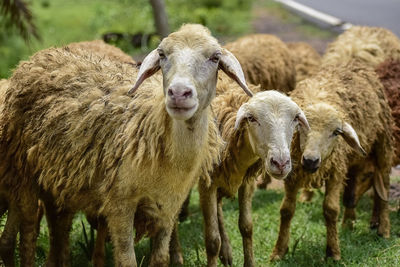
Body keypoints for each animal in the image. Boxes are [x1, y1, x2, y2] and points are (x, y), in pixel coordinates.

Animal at [0, 23, 252, 267]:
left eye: (215, 58)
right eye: (162, 54)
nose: (179, 93)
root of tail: (39, 56)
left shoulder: (169, 207)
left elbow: (160, 259)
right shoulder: (119, 204)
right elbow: (126, 260)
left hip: (57, 180)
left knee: (58, 226)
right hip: (23, 173)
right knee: (29, 231)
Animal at [270, 60, 392, 262]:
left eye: (336, 132)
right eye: (301, 126)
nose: (310, 160)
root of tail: (353, 64)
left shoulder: (336, 170)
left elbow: (331, 209)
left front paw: (333, 252)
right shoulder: (292, 174)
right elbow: (286, 210)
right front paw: (279, 251)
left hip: (383, 144)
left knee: (384, 186)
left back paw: (384, 229)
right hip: (354, 158)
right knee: (352, 188)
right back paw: (348, 223)